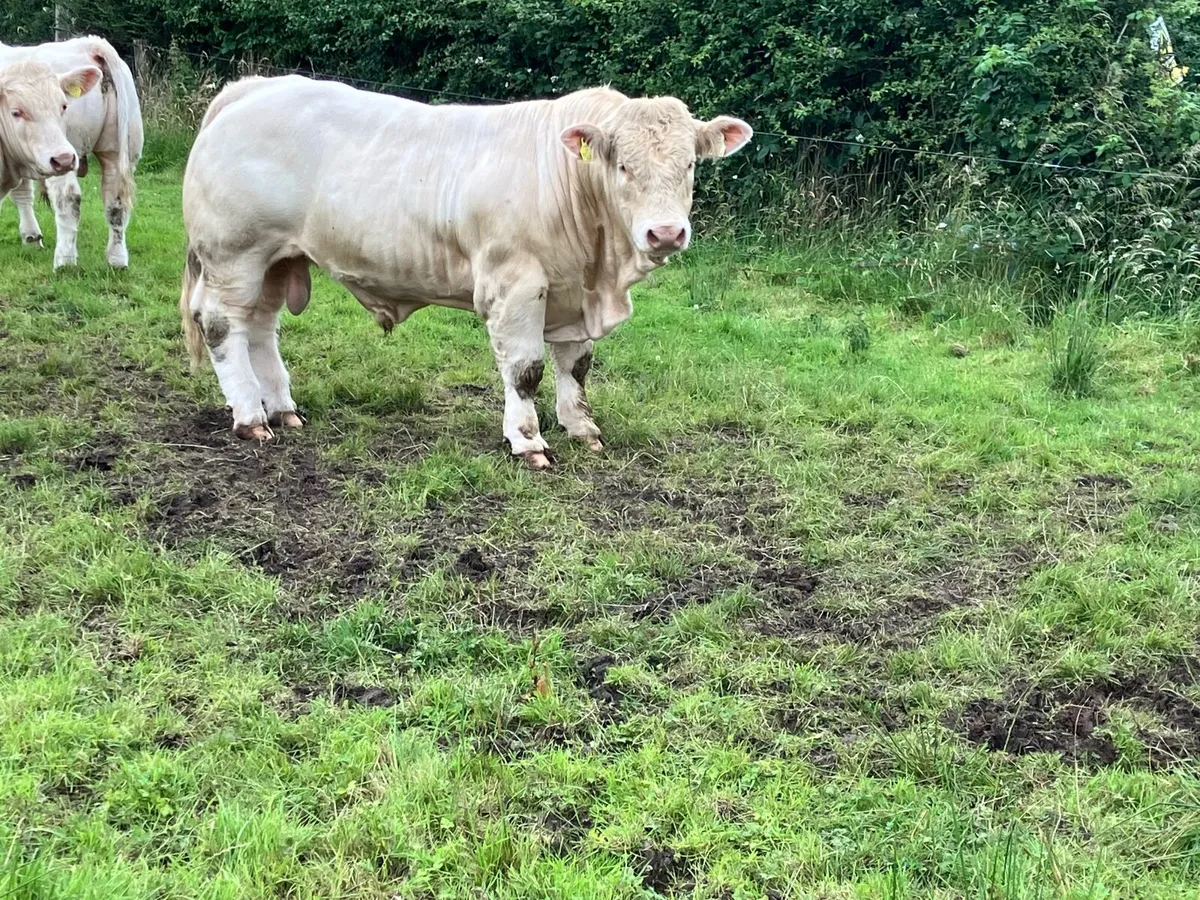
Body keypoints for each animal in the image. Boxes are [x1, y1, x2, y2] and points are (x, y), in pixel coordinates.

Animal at [180, 76, 751, 468]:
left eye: (690, 165)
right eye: (623, 166)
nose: (666, 233)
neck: (600, 269)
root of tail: (254, 87)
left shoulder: (572, 292)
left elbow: (576, 366)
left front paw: (582, 428)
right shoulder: (516, 284)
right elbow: (526, 369)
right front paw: (528, 441)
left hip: (277, 259)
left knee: (260, 328)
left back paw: (281, 408)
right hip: (234, 253)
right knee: (221, 325)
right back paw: (250, 418)